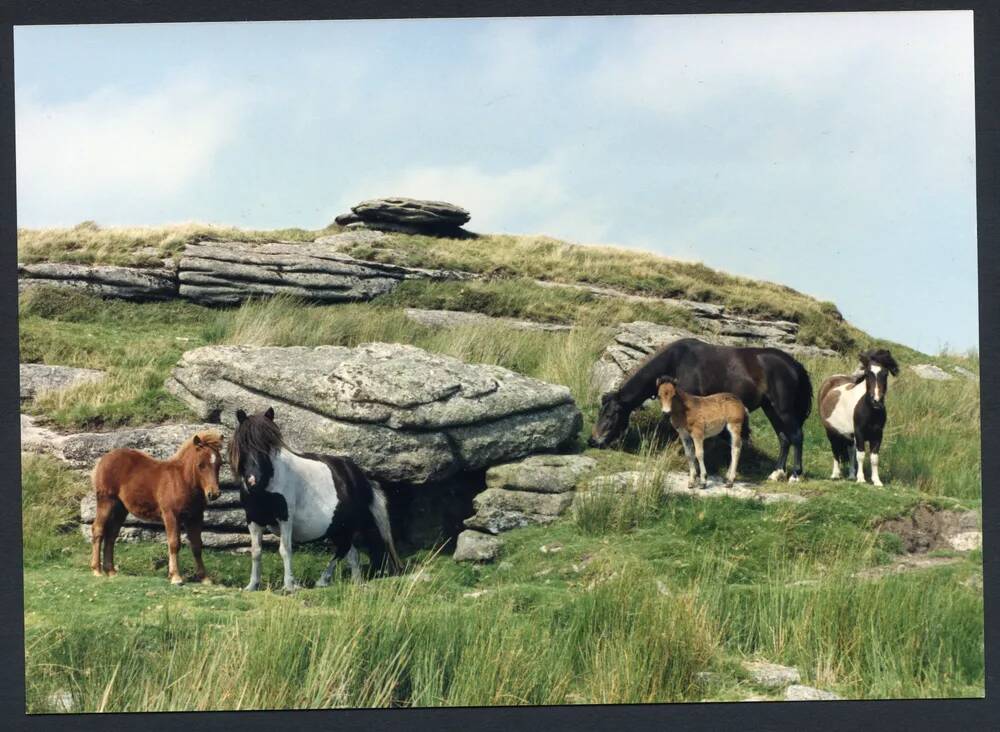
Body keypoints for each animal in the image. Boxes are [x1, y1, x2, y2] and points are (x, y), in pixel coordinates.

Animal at [91, 428, 224, 584]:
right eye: (201, 465)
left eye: (219, 464)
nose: (213, 493)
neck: (182, 481)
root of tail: (104, 459)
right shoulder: (171, 515)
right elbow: (174, 543)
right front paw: (175, 576)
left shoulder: (195, 517)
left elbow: (197, 545)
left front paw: (205, 578)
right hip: (106, 501)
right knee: (98, 529)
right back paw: (97, 570)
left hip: (120, 509)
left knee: (111, 534)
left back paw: (111, 571)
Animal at [227, 406, 402, 596]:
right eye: (243, 444)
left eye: (269, 445)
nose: (253, 480)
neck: (266, 486)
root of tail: (359, 477)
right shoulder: (253, 520)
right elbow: (256, 552)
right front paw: (252, 585)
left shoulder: (285, 518)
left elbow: (285, 550)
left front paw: (289, 585)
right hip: (338, 528)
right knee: (351, 553)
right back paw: (356, 582)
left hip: (346, 527)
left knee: (343, 550)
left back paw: (323, 580)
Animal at [584, 338, 812, 480]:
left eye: (611, 414)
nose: (593, 440)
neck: (675, 363)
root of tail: (793, 364)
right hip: (770, 409)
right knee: (784, 438)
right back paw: (777, 473)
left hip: (783, 409)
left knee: (796, 436)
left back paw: (795, 474)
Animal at [816, 348, 904, 486]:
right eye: (868, 374)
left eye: (885, 374)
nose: (876, 401)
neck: (869, 410)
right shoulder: (860, 433)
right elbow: (861, 455)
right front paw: (861, 479)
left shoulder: (877, 435)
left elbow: (874, 458)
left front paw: (876, 481)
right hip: (831, 432)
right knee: (835, 450)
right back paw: (835, 474)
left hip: (849, 435)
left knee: (851, 451)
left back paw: (852, 475)